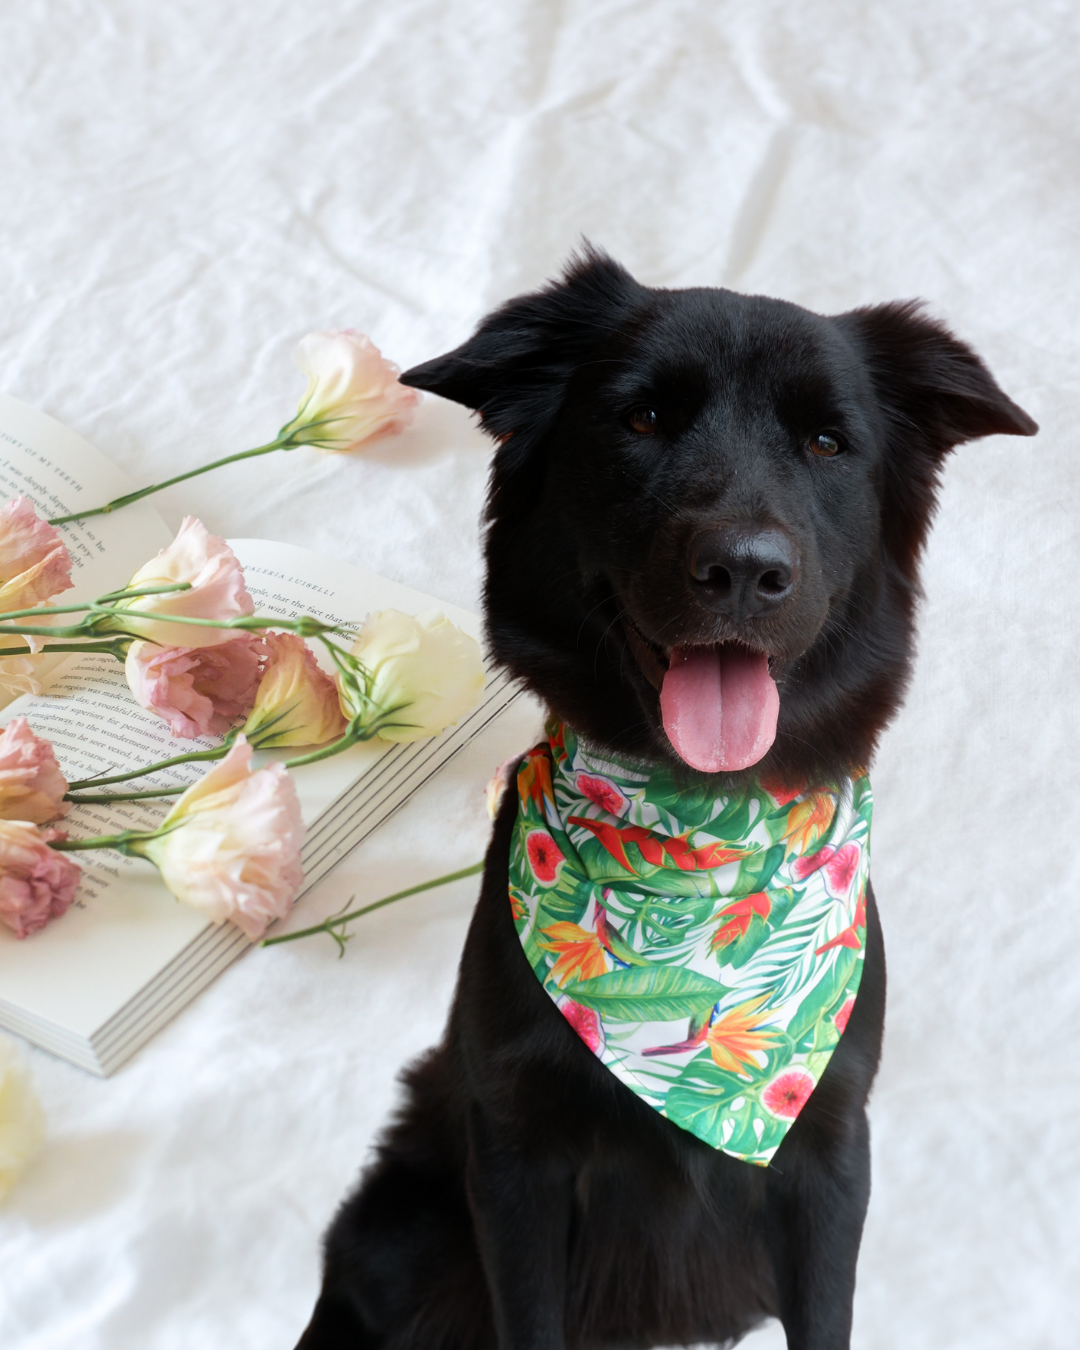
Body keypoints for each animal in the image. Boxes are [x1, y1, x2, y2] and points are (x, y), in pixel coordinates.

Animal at [292, 253, 1031, 1350]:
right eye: (641, 419)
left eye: (827, 442)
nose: (745, 570)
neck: (696, 838)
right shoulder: (514, 1156)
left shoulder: (828, 1150)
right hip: (402, 1229)